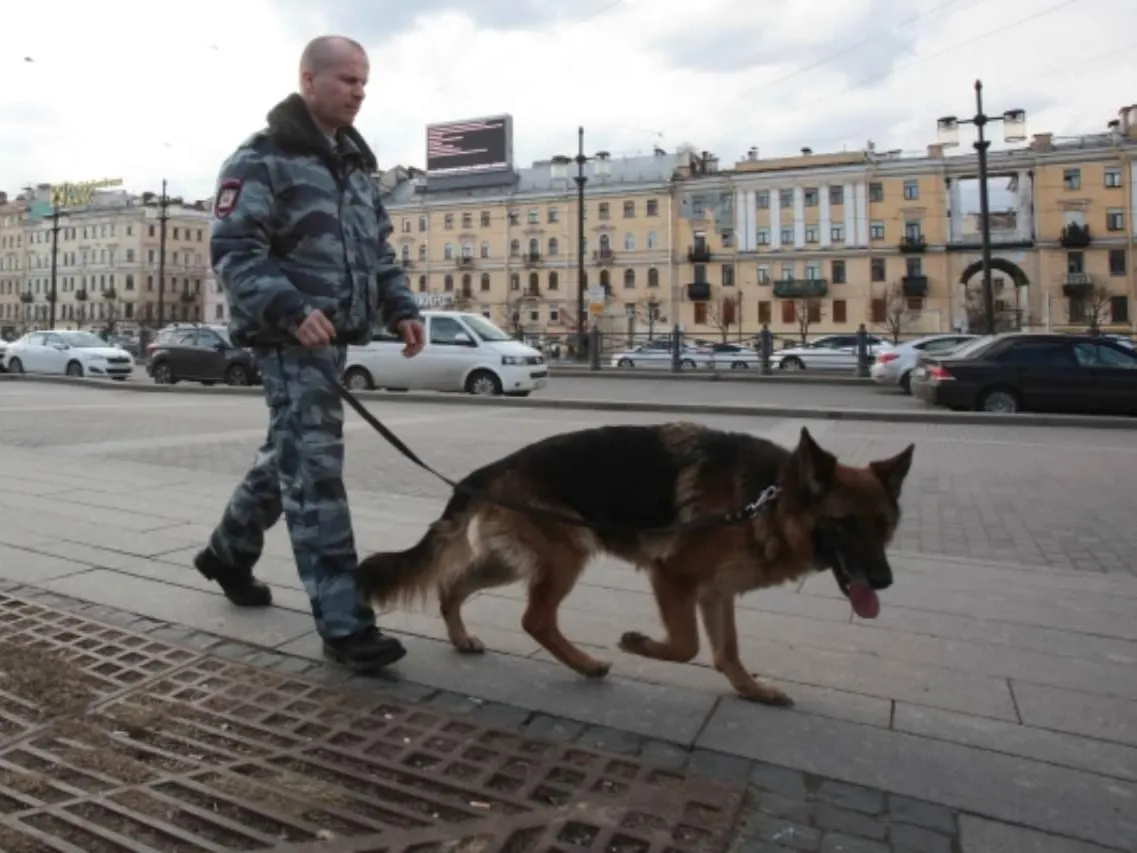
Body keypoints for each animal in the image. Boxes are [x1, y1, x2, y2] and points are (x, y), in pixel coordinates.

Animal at [357, 425, 914, 709]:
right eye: (846, 524)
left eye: (885, 526)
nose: (885, 581)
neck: (769, 498)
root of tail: (493, 467)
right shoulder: (673, 576)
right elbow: (688, 647)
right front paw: (639, 644)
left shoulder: (716, 591)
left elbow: (727, 650)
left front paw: (749, 689)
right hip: (566, 555)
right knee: (535, 619)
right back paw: (586, 664)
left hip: (513, 561)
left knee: (452, 582)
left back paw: (461, 638)